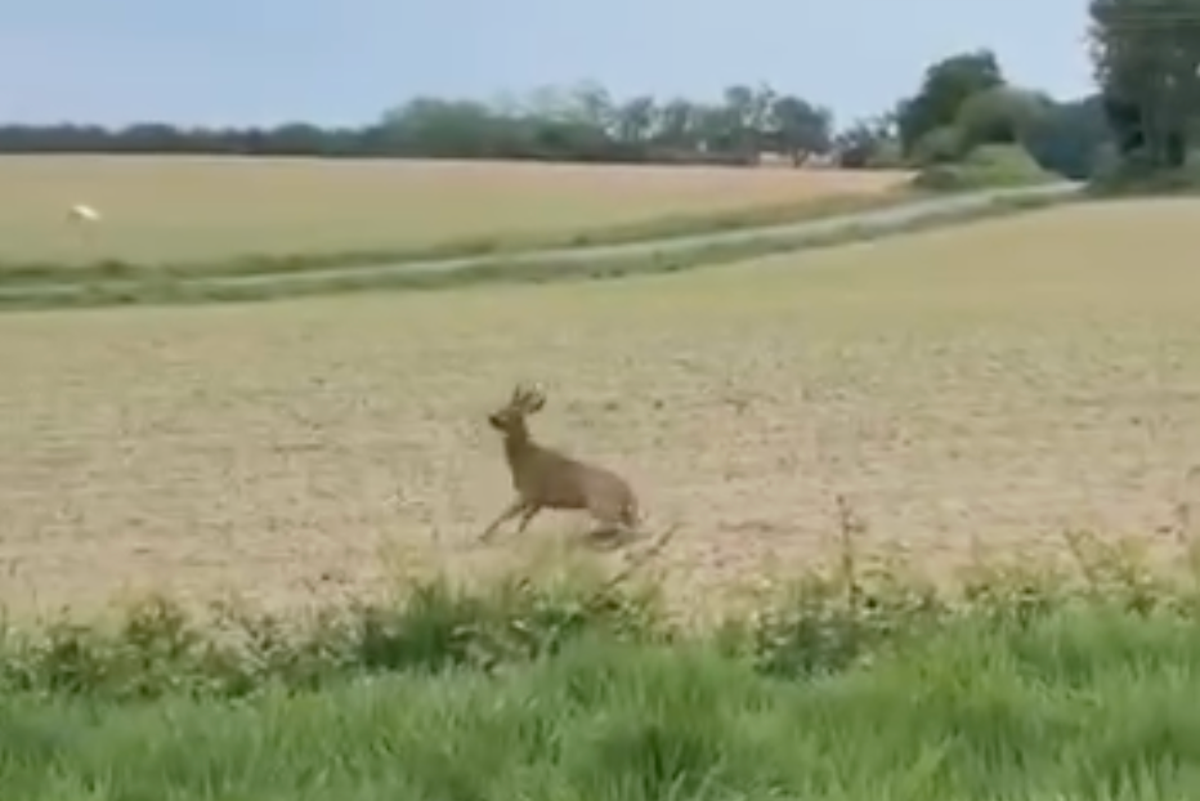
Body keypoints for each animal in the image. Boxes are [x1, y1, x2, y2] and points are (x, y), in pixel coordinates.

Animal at [478, 383, 641, 544]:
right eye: (502, 406)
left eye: (514, 413)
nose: (492, 417)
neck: (524, 459)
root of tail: (628, 493)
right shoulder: (537, 501)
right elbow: (519, 521)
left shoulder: (530, 493)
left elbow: (507, 516)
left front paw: (484, 536)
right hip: (615, 510)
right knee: (629, 526)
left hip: (600, 504)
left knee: (618, 527)